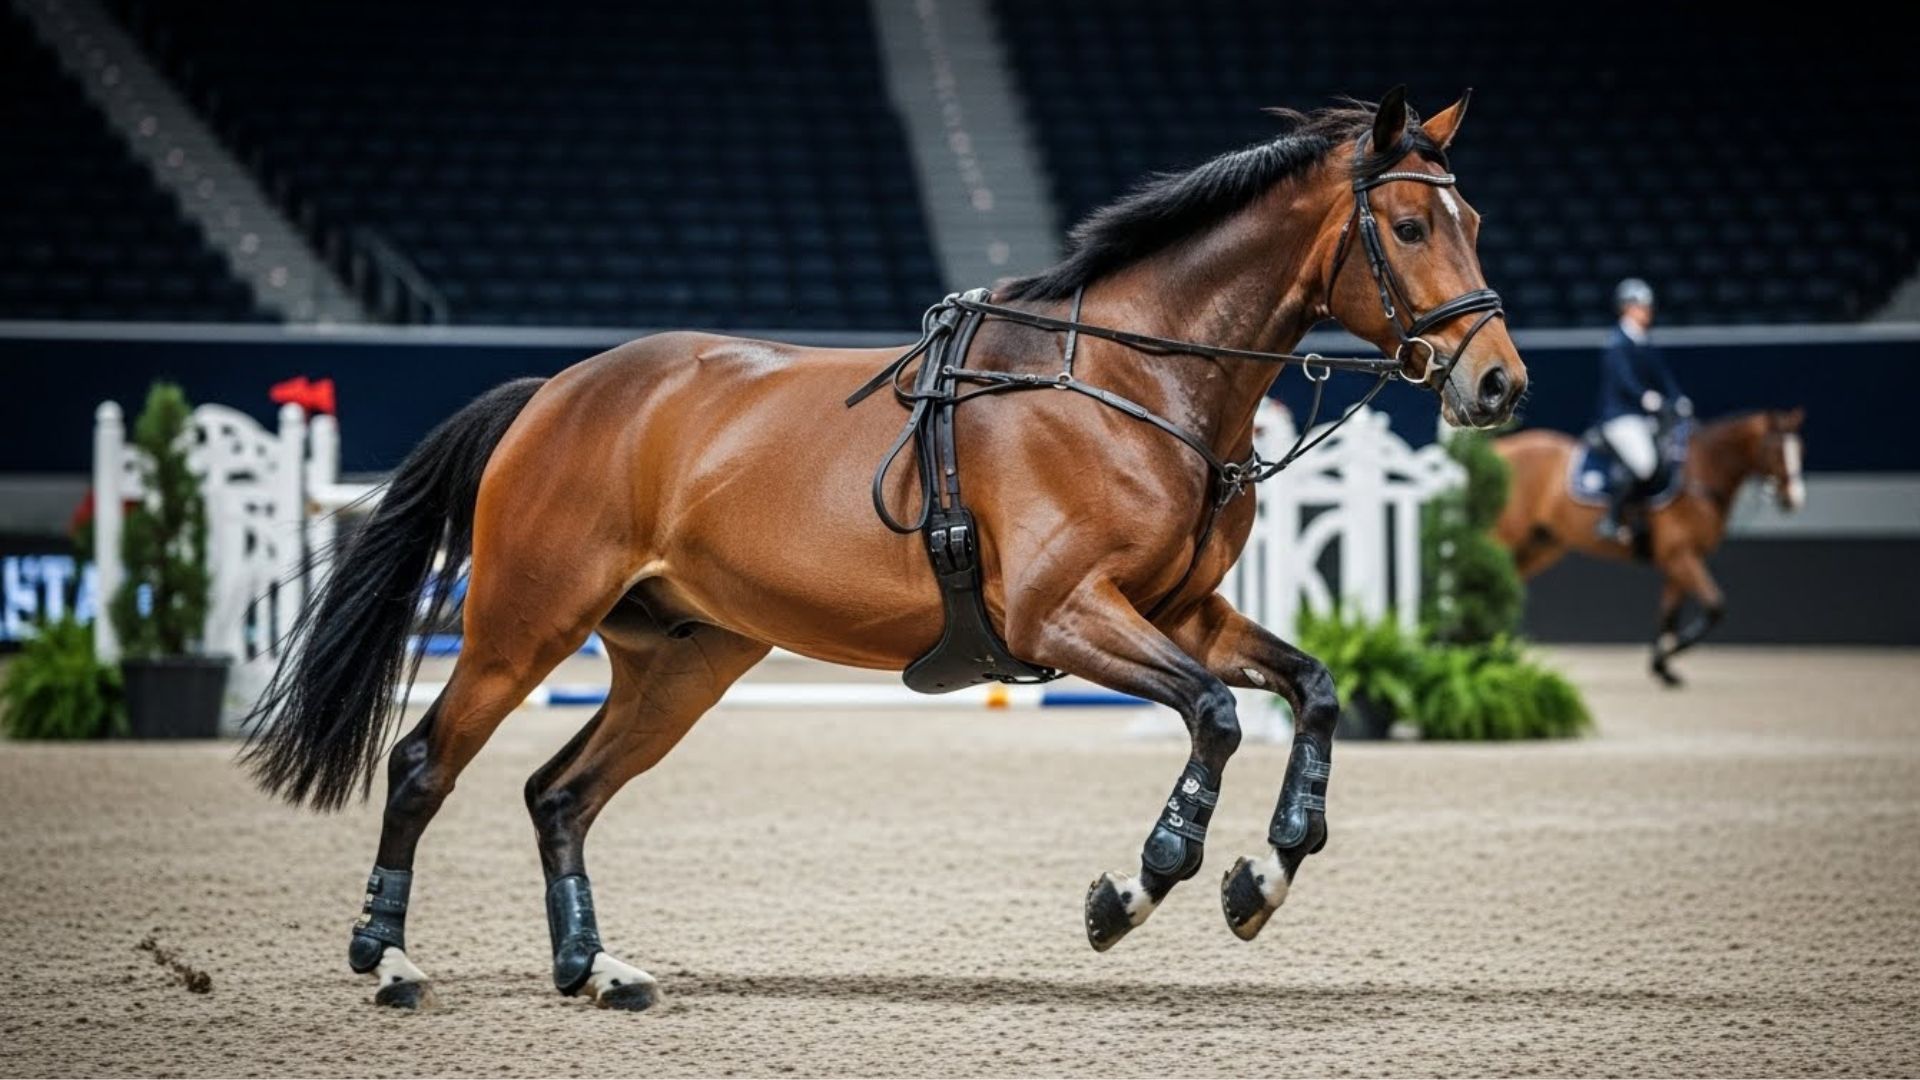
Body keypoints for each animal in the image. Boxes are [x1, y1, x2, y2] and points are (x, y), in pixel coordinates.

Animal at [244, 89, 1525, 1011]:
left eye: (1472, 221)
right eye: (1410, 225)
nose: (1499, 384)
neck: (1133, 377)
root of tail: (555, 391)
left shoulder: (1181, 612)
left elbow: (1311, 688)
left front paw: (1265, 874)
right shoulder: (1067, 613)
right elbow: (1213, 715)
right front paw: (1140, 886)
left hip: (683, 659)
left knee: (559, 793)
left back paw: (593, 970)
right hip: (524, 624)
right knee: (426, 764)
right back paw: (389, 960)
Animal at [1493, 408, 1805, 686]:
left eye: (1800, 450)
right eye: (1776, 450)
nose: (1795, 499)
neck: (1700, 473)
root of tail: (1503, 449)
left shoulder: (1679, 560)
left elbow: (1668, 615)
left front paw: (1662, 667)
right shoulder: (1681, 556)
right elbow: (1714, 607)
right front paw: (1675, 650)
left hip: (1540, 546)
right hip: (1506, 540)